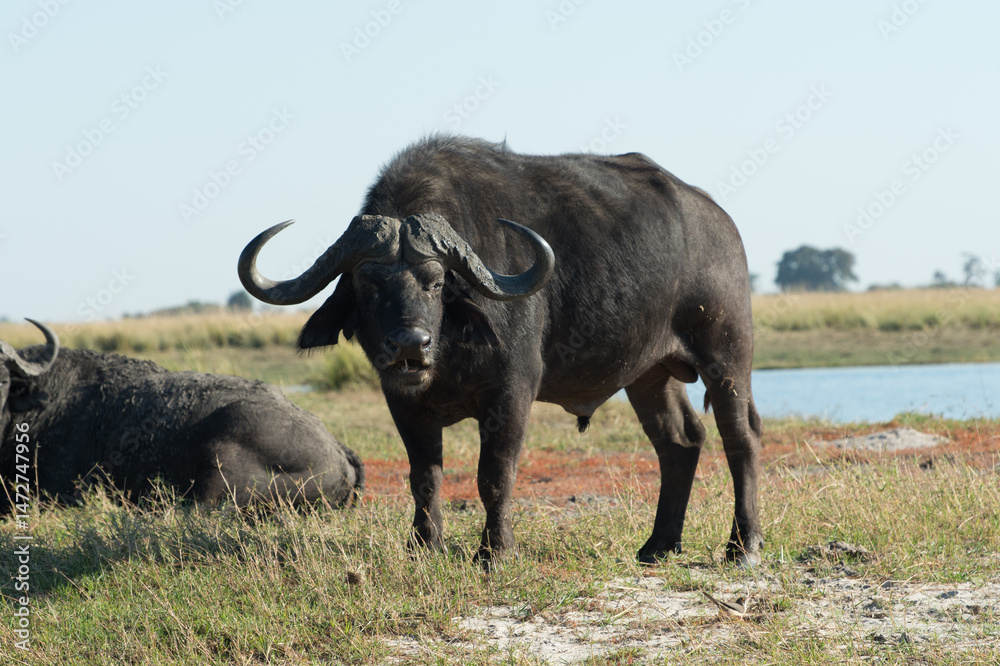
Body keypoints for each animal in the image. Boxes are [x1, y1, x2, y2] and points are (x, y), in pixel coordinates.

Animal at [239, 136, 762, 566]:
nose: (410, 344)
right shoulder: (403, 403)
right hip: (650, 374)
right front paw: (425, 545)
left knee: (741, 438)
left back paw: (743, 547)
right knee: (681, 442)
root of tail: (721, 223)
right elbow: (424, 476)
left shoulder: (512, 394)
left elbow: (495, 474)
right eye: (368, 284)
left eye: (435, 282)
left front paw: (495, 551)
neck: (449, 347)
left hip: (727, 355)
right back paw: (658, 545)